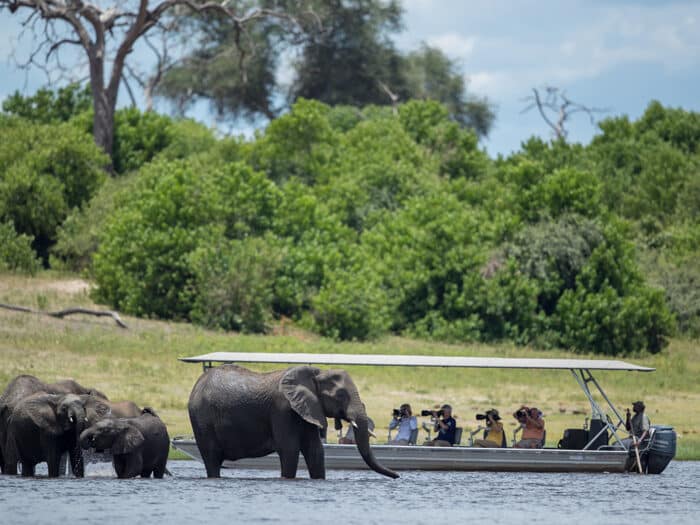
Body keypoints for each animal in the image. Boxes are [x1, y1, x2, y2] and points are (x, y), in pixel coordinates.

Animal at [189, 364, 400, 478]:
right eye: (340, 395)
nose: (397, 476)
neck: (316, 374)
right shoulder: (282, 409)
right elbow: (289, 449)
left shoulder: (308, 409)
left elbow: (315, 451)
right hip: (202, 420)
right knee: (212, 458)